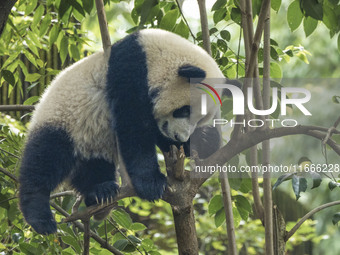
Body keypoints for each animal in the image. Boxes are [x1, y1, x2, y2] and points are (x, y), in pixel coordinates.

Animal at [19, 28, 226, 234]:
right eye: (184, 110)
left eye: (200, 119)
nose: (179, 136)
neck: (154, 54)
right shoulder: (129, 71)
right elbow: (133, 127)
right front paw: (151, 183)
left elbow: (157, 134)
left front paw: (204, 140)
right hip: (64, 119)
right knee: (45, 159)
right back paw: (41, 217)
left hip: (93, 141)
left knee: (94, 167)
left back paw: (100, 192)